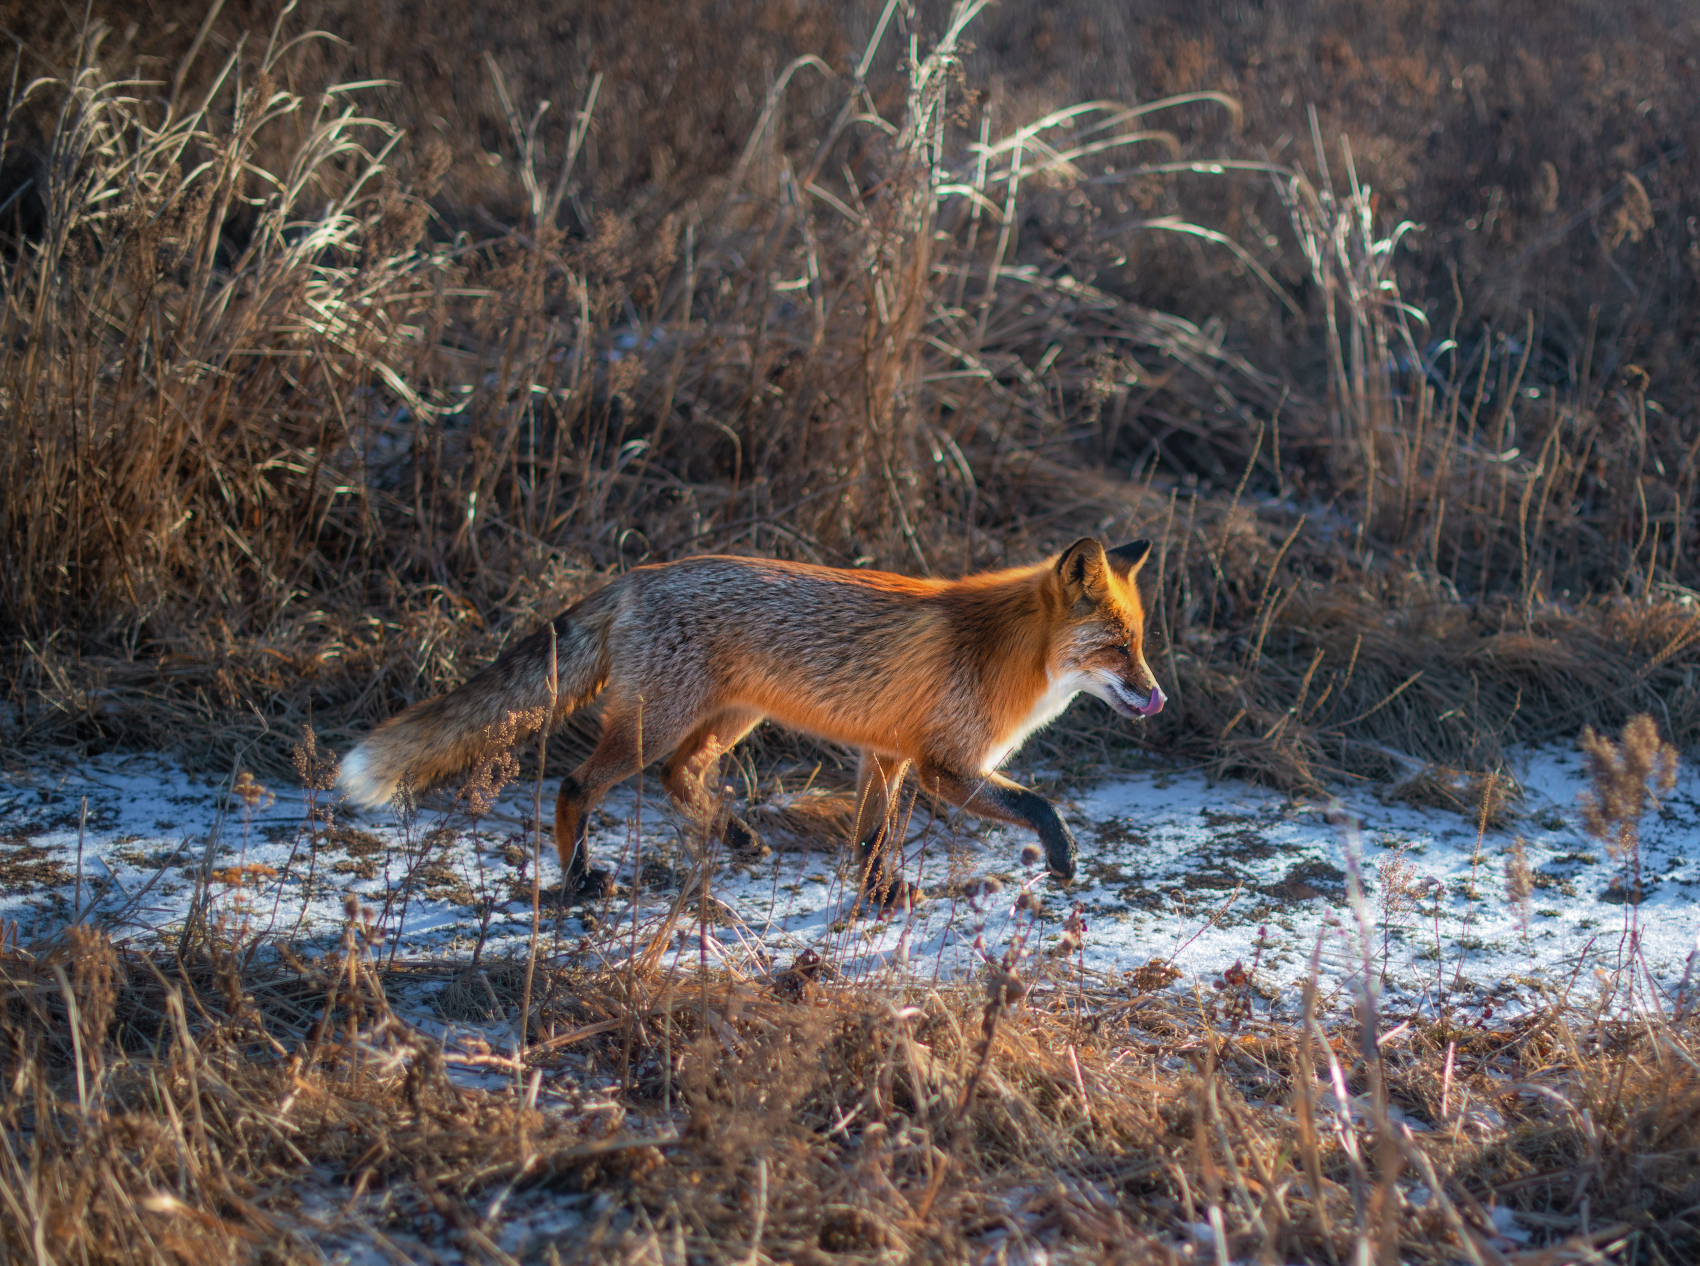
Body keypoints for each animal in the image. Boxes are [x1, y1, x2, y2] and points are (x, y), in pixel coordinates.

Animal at [338, 536, 1162, 904]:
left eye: (1141, 642)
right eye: (1118, 646)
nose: (1155, 698)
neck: (1005, 650)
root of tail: (636, 577)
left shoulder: (885, 756)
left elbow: (871, 838)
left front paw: (879, 896)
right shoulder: (944, 767)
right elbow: (1041, 804)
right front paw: (1063, 859)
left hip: (724, 721)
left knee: (680, 778)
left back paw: (735, 835)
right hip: (654, 726)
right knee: (576, 786)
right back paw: (579, 880)